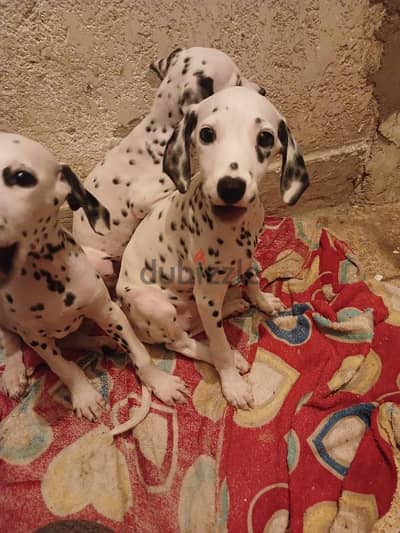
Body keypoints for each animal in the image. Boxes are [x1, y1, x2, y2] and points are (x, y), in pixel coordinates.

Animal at [0, 131, 188, 418]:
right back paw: (13, 374)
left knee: (75, 338)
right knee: (10, 340)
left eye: (21, 177)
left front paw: (160, 383)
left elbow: (140, 354)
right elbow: (63, 367)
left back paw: (102, 342)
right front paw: (84, 395)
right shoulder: (37, 339)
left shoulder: (108, 311)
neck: (47, 278)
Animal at [115, 86, 310, 408]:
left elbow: (252, 279)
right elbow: (218, 344)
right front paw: (232, 384)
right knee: (182, 341)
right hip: (157, 306)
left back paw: (232, 303)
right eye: (206, 134)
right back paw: (229, 355)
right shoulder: (205, 293)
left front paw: (262, 301)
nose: (231, 187)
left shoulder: (249, 254)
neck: (234, 228)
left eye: (265, 138)